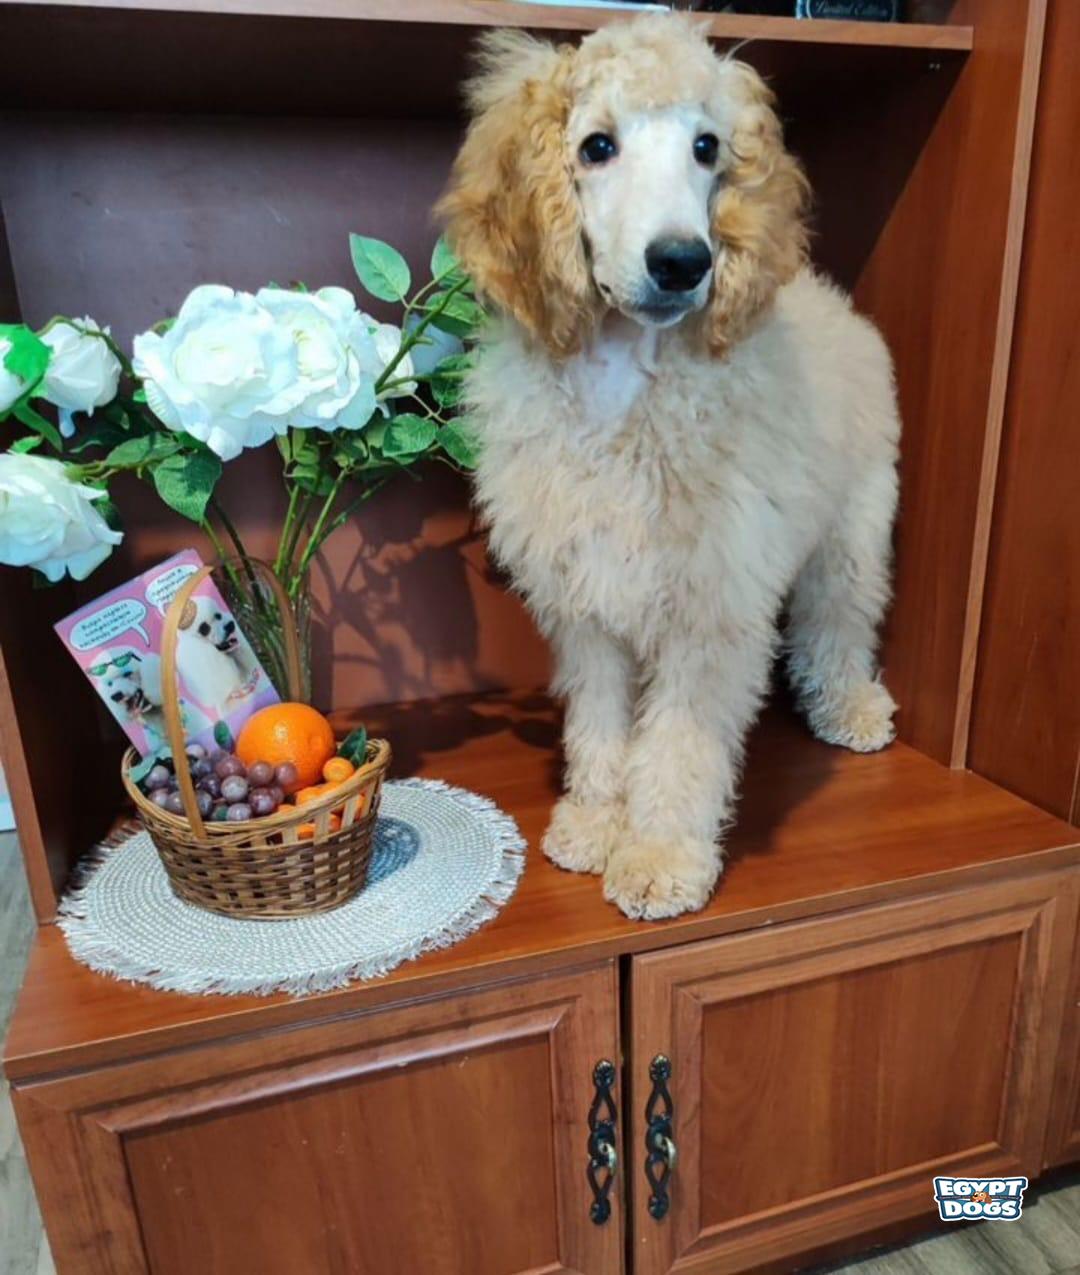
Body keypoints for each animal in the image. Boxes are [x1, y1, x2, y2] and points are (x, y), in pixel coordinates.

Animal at [439, 16, 901, 919]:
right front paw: (593, 819)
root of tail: (829, 296)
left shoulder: (710, 607)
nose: (684, 261)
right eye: (596, 146)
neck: (627, 385)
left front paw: (657, 855)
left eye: (706, 146)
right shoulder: (586, 600)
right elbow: (600, 724)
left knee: (840, 619)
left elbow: (682, 747)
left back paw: (850, 704)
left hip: (854, 526)